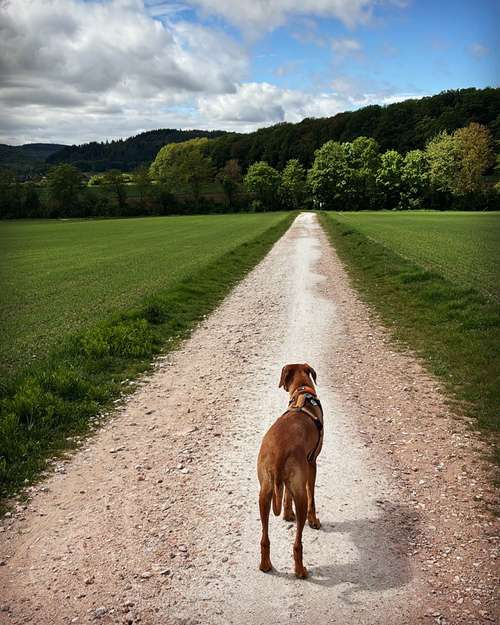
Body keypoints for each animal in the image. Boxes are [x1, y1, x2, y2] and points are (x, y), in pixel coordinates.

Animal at [258, 364, 324, 576]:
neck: (302, 392)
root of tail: (279, 451)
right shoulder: (312, 463)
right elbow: (313, 496)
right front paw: (314, 520)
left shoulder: (287, 483)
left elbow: (286, 494)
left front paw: (287, 514)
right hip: (300, 494)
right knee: (297, 542)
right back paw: (300, 570)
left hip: (265, 492)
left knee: (264, 538)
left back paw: (265, 564)